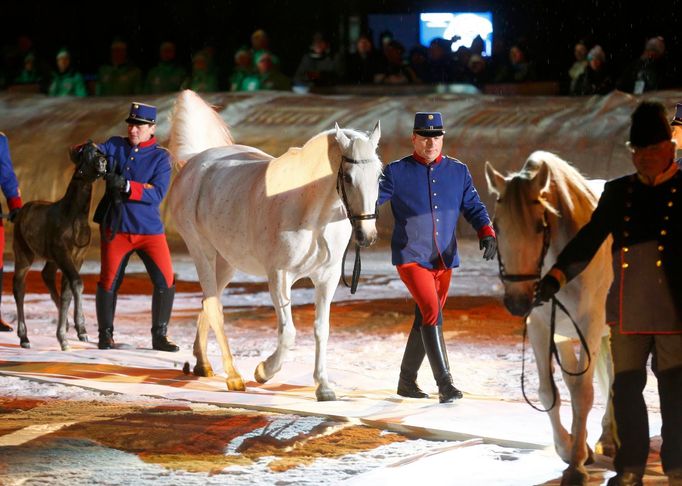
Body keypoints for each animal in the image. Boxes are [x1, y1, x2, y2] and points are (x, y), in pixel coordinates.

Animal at [12, 142, 107, 352]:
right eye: (85, 153)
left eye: (99, 151)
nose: (103, 162)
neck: (73, 217)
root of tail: (21, 211)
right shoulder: (63, 253)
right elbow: (77, 284)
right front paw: (67, 336)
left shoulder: (77, 257)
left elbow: (68, 291)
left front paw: (77, 331)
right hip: (24, 255)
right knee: (19, 288)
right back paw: (24, 337)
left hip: (51, 259)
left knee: (46, 275)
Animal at [167, 89, 380, 400]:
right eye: (348, 177)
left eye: (379, 175)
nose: (367, 234)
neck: (312, 213)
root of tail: (196, 162)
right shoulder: (279, 276)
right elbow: (288, 333)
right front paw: (264, 371)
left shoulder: (326, 278)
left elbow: (322, 328)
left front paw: (324, 386)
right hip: (201, 251)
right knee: (215, 306)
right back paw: (234, 377)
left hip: (227, 261)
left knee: (207, 302)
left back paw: (203, 364)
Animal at [486, 151, 612, 482]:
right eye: (497, 225)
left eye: (540, 227)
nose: (517, 301)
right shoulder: (542, 327)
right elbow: (548, 391)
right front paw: (570, 449)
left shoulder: (589, 326)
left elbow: (582, 393)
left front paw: (576, 465)